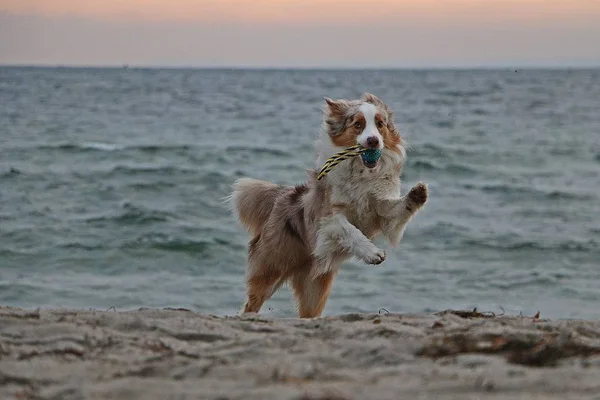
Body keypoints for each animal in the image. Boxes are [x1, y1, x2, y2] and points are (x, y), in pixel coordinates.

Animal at [229, 92, 426, 318]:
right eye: (358, 124)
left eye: (380, 124)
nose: (373, 141)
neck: (361, 172)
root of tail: (282, 195)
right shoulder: (328, 217)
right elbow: (351, 230)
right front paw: (372, 253)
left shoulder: (381, 211)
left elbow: (397, 210)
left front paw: (417, 194)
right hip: (273, 266)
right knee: (253, 301)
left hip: (317, 287)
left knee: (308, 312)